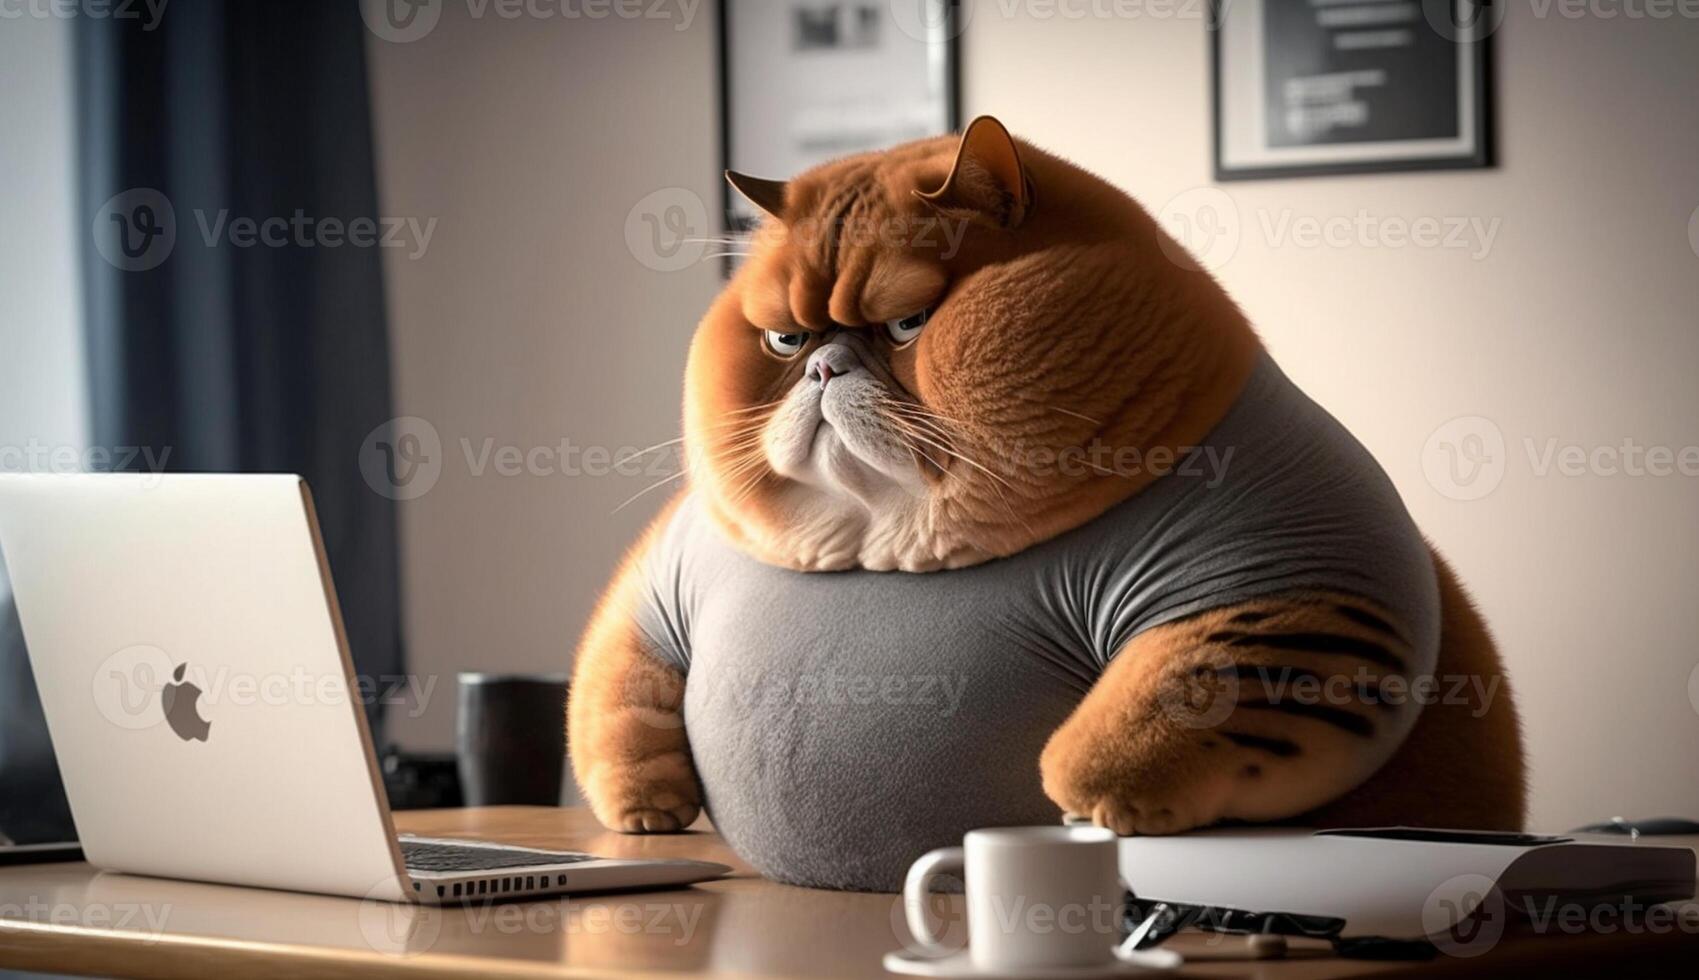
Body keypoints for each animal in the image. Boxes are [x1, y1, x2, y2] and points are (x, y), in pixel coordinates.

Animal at [567, 118, 1529, 889]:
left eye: (908, 324)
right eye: (785, 339)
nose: (822, 367)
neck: (884, 546)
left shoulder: (1290, 577)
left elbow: (1175, 688)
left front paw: (1094, 797)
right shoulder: (663, 575)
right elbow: (615, 684)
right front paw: (647, 808)